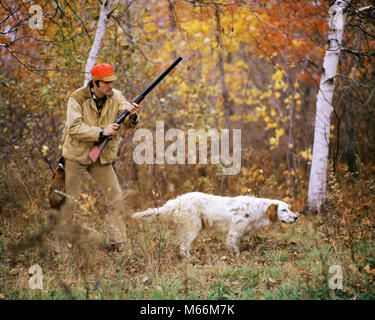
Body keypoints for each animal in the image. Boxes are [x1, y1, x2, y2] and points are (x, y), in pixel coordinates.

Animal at [134, 192, 298, 258]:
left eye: (289, 208)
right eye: (284, 210)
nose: (296, 217)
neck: (255, 209)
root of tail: (178, 200)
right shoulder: (234, 232)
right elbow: (235, 248)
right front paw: (237, 258)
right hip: (193, 228)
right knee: (184, 248)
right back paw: (190, 259)